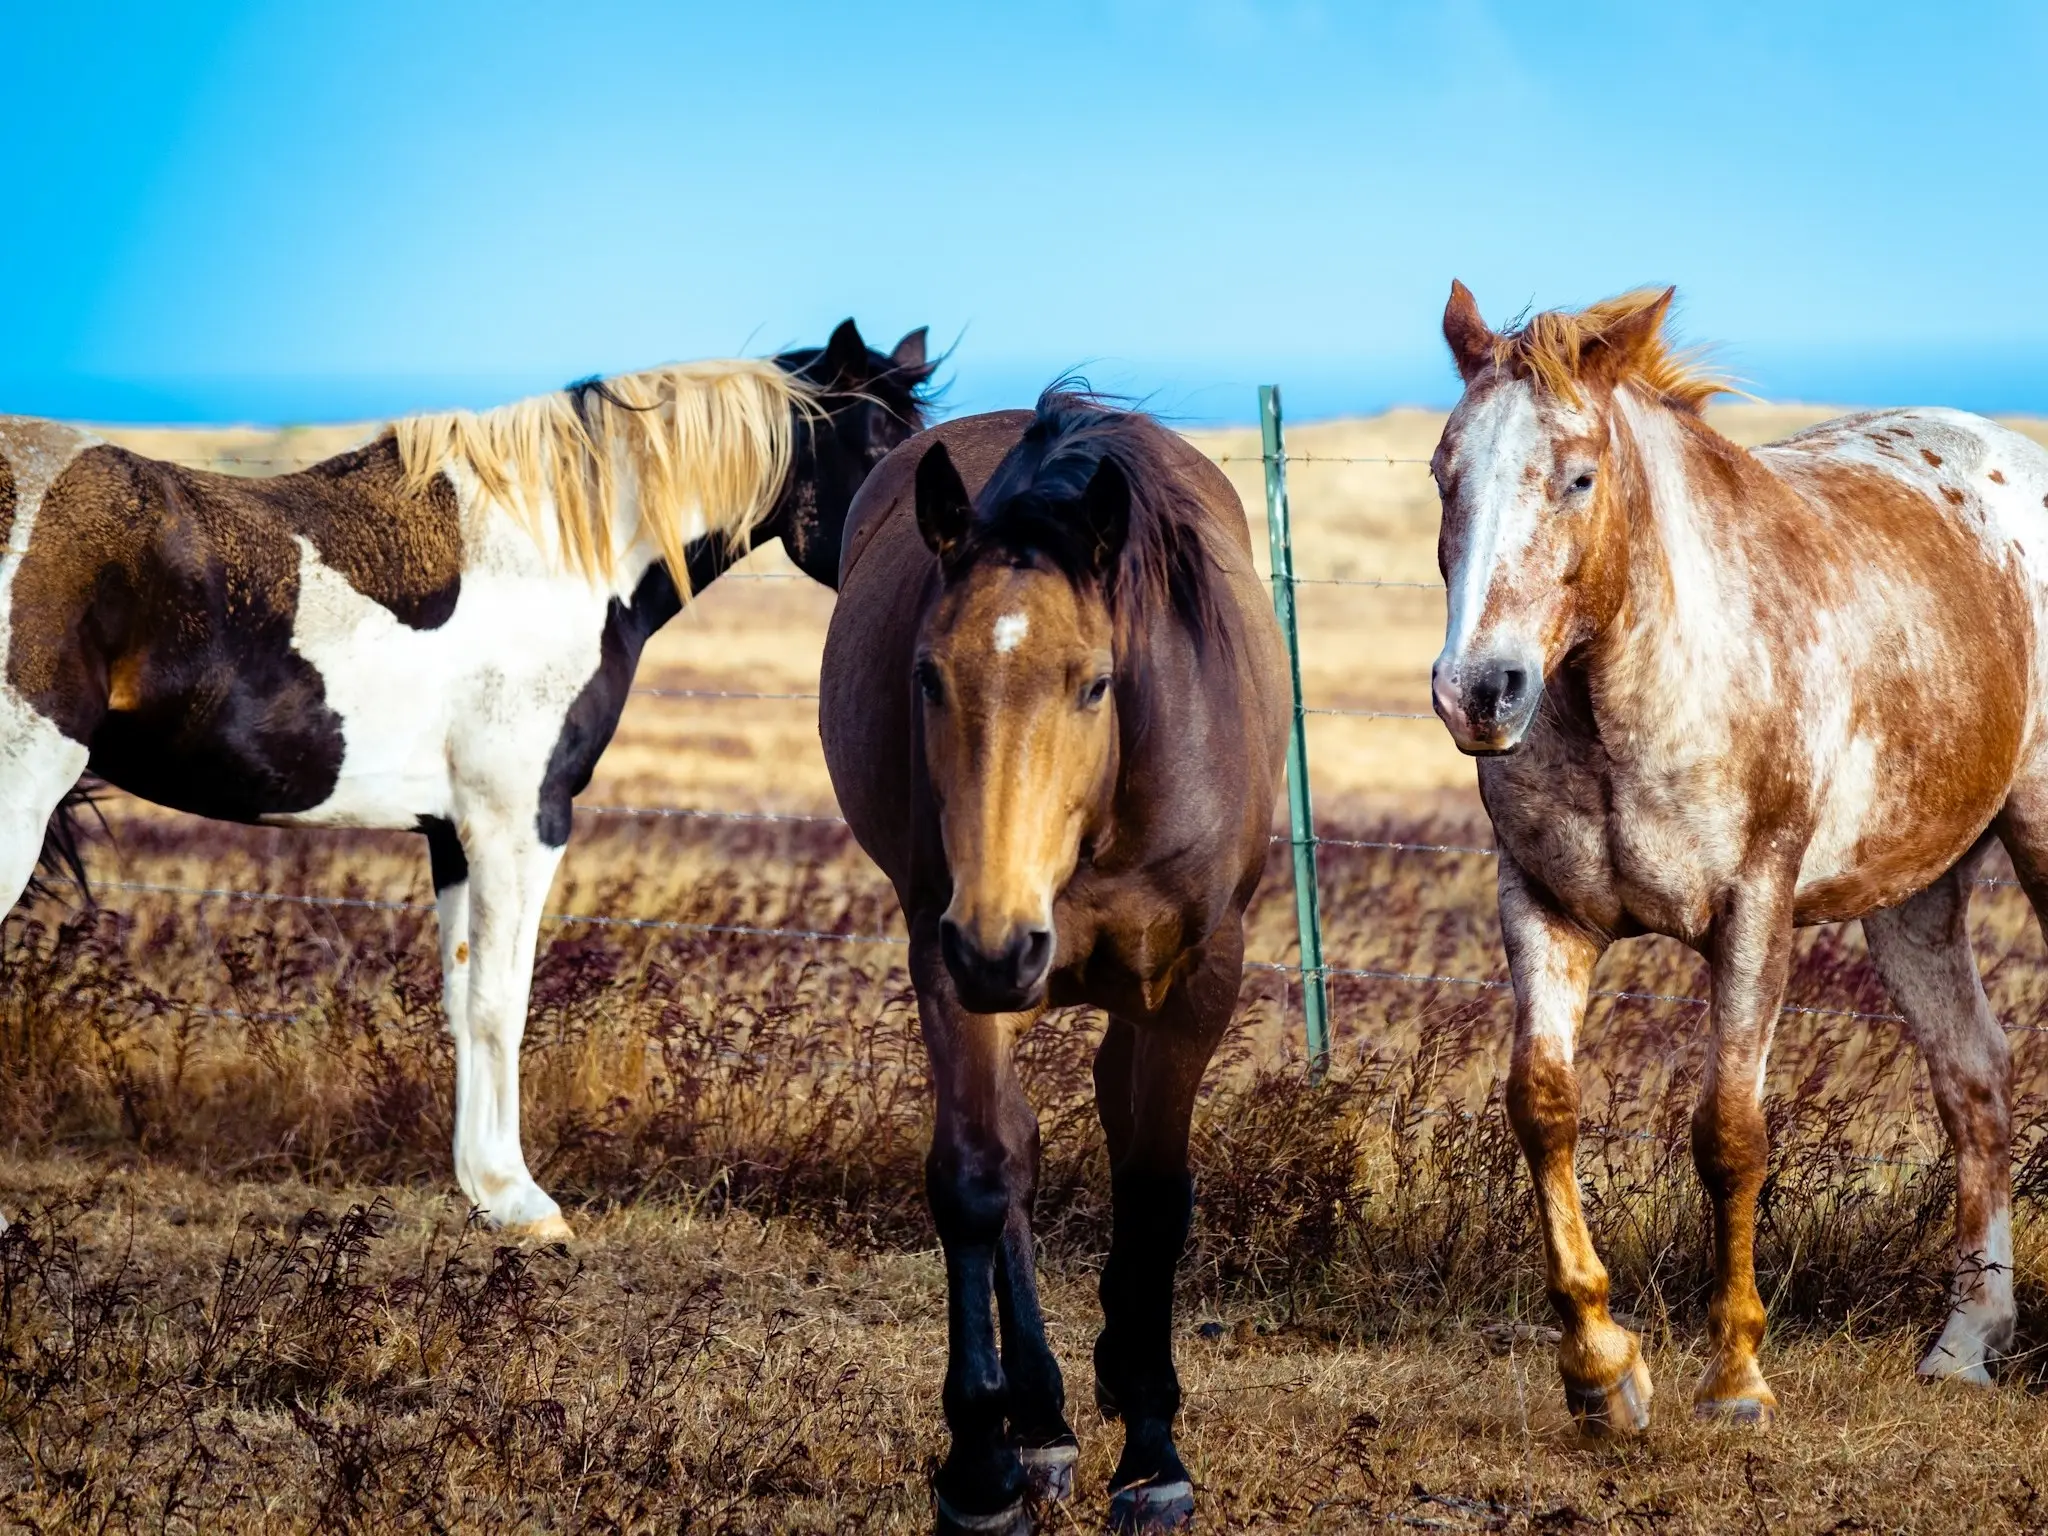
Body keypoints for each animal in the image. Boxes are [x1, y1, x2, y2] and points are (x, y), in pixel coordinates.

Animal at [0, 319, 929, 1245]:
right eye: (881, 441)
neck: (552, 554)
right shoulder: (520, 822)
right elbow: (500, 1003)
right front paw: (522, 1201)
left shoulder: (451, 831)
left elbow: (460, 997)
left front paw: (483, 1188)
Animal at [815, 391, 1277, 1531]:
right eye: (928, 677)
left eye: (1095, 683)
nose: (999, 939)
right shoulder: (950, 964)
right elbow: (980, 1178)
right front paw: (983, 1464)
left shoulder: (1196, 979)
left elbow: (1152, 1190)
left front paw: (1153, 1453)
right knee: (1017, 1154)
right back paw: (1041, 1419)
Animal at [1425, 282, 2048, 1441]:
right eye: (1446, 473)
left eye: (1578, 476)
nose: (1477, 692)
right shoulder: (1541, 909)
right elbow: (1542, 1108)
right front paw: (1601, 1371)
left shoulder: (1752, 913)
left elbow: (1728, 1136)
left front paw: (1736, 1380)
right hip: (1912, 898)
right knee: (1973, 1079)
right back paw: (1962, 1345)